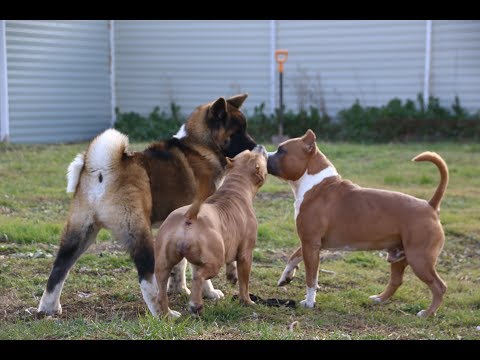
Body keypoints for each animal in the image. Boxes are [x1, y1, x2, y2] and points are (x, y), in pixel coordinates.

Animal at [154, 145, 268, 316]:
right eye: (257, 155)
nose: (260, 146)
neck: (236, 187)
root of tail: (190, 217)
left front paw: (232, 276)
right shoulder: (246, 254)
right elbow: (244, 283)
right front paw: (247, 301)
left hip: (164, 264)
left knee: (162, 288)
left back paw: (169, 313)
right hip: (215, 261)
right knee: (198, 277)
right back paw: (195, 305)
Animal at [268, 130, 448, 318]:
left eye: (282, 151)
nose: (265, 154)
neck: (316, 185)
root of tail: (430, 206)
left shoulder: (311, 243)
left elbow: (311, 277)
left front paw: (309, 302)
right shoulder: (309, 243)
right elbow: (294, 257)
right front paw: (286, 277)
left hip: (419, 259)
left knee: (439, 287)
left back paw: (427, 313)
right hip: (400, 255)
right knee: (396, 281)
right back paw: (379, 299)